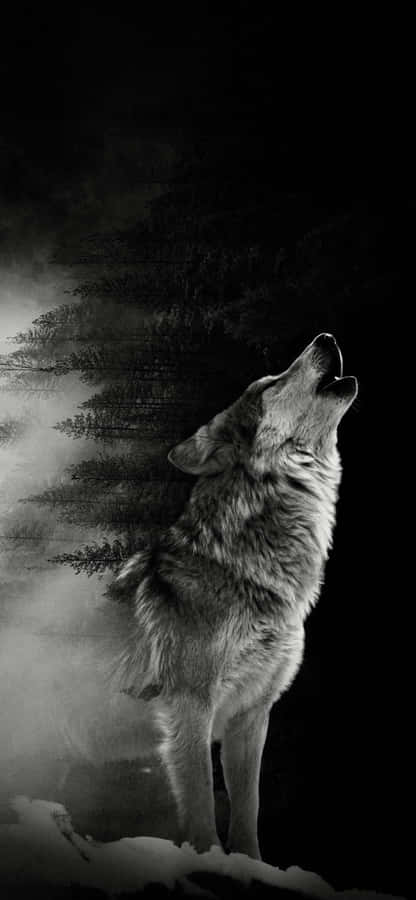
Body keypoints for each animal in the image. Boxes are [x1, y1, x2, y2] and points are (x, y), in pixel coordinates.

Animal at [112, 333, 357, 859]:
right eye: (270, 383)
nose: (326, 337)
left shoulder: (252, 714)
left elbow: (248, 808)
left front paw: (250, 864)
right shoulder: (189, 707)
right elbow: (203, 805)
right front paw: (208, 860)